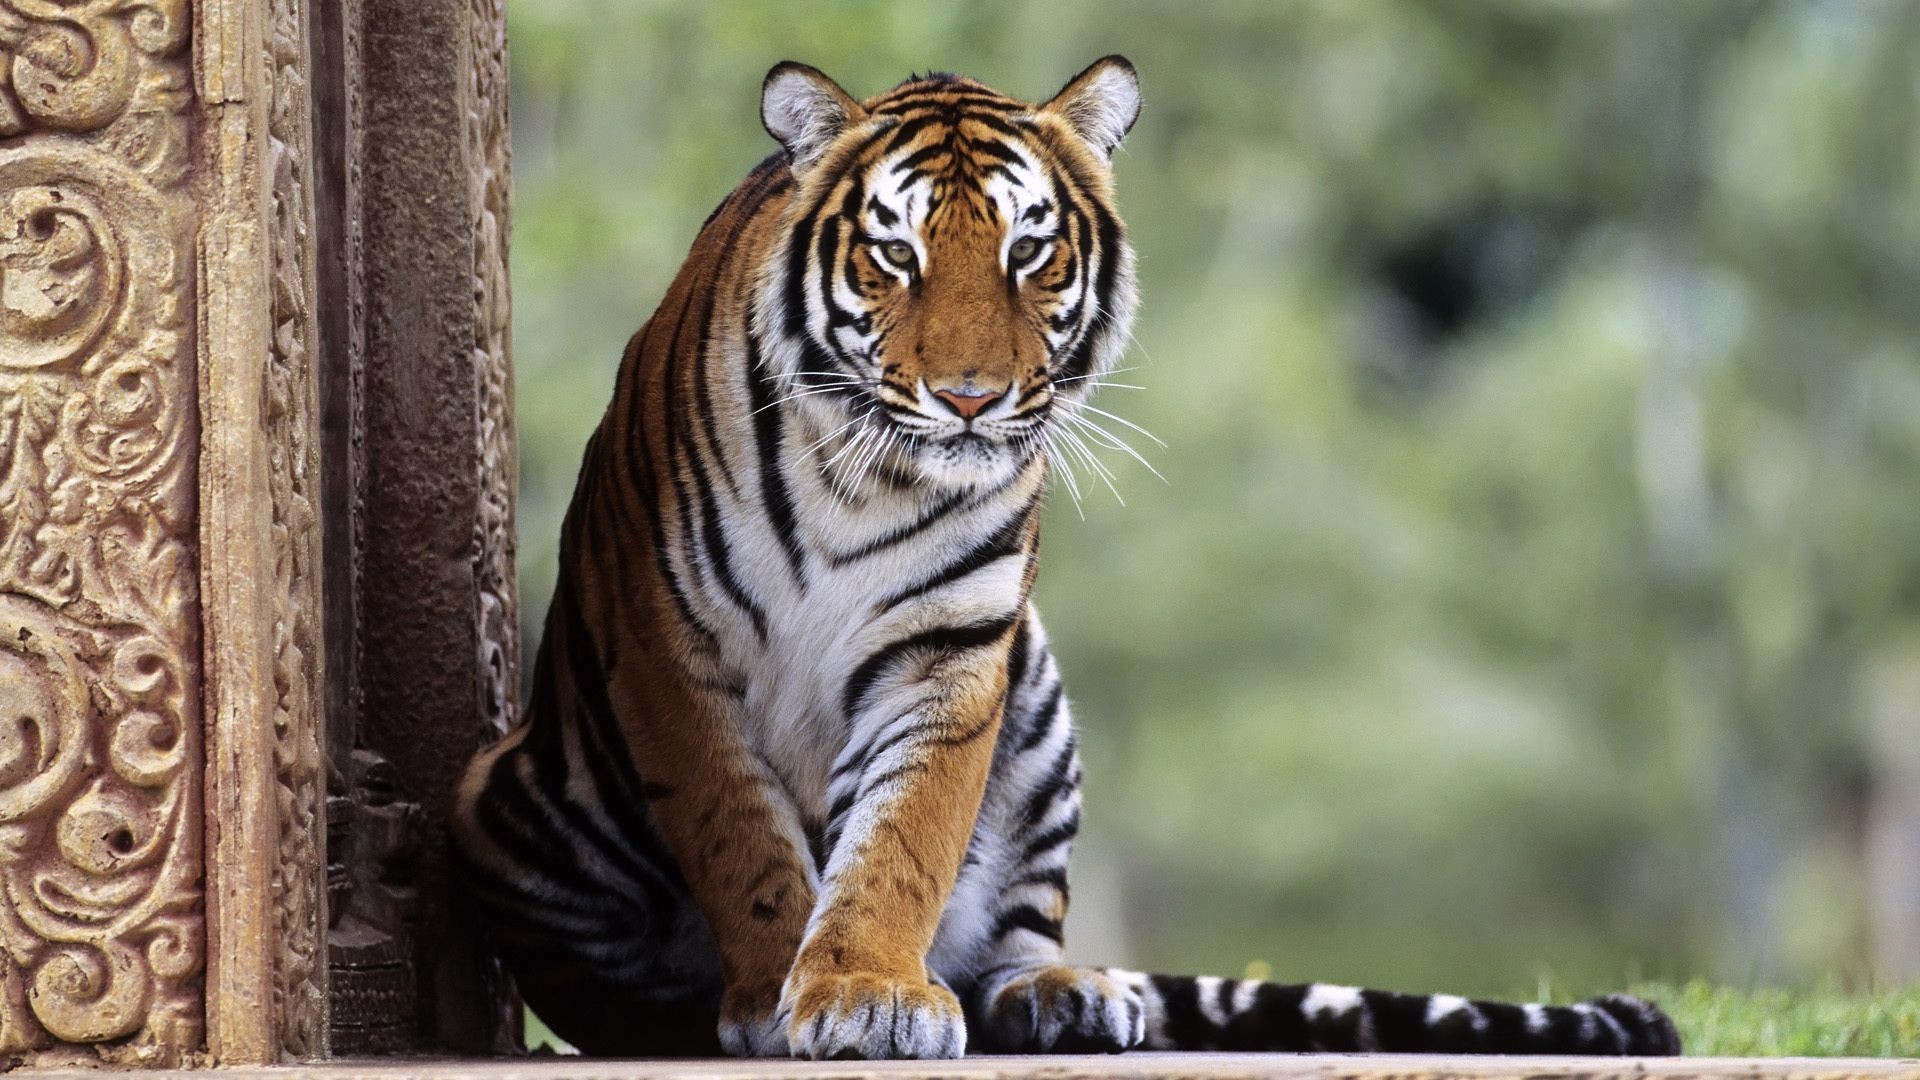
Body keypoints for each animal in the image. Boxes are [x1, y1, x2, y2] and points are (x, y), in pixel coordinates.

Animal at [449, 58, 1681, 1060]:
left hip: (1036, 700)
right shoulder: (670, 648)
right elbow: (741, 839)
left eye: (1029, 250)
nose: (969, 397)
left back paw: (1061, 996)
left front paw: (863, 990)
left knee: (1016, 931)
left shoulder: (952, 653)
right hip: (502, 801)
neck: (862, 477)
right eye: (894, 253)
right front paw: (775, 994)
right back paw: (676, 1016)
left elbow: (902, 839)